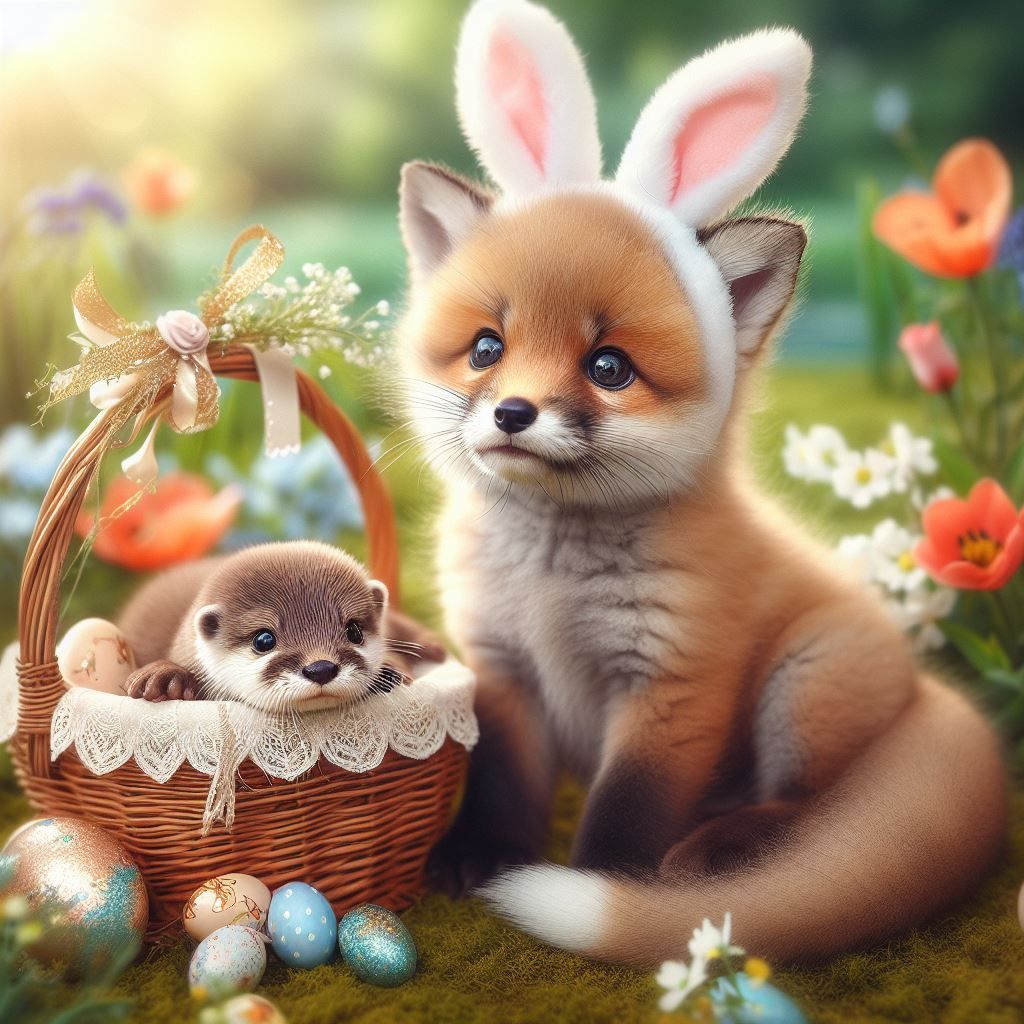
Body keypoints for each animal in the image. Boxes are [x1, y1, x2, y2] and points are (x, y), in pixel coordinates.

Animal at [395, 0, 1007, 966]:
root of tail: (928, 692)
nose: (515, 413)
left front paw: (603, 886)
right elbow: (501, 783)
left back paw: (717, 852)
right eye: (487, 348)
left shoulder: (671, 686)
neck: (551, 580)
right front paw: (485, 854)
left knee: (803, 811)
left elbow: (628, 810)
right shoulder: (502, 672)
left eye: (609, 367)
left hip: (803, 688)